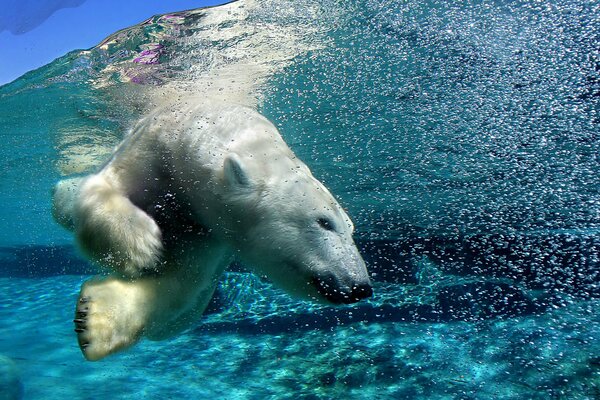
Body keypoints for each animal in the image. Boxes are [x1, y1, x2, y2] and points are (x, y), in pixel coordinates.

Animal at [52, 103, 370, 360]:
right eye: (324, 222)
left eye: (351, 229)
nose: (360, 287)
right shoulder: (153, 148)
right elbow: (105, 187)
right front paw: (141, 246)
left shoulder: (209, 232)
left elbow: (182, 282)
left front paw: (94, 320)